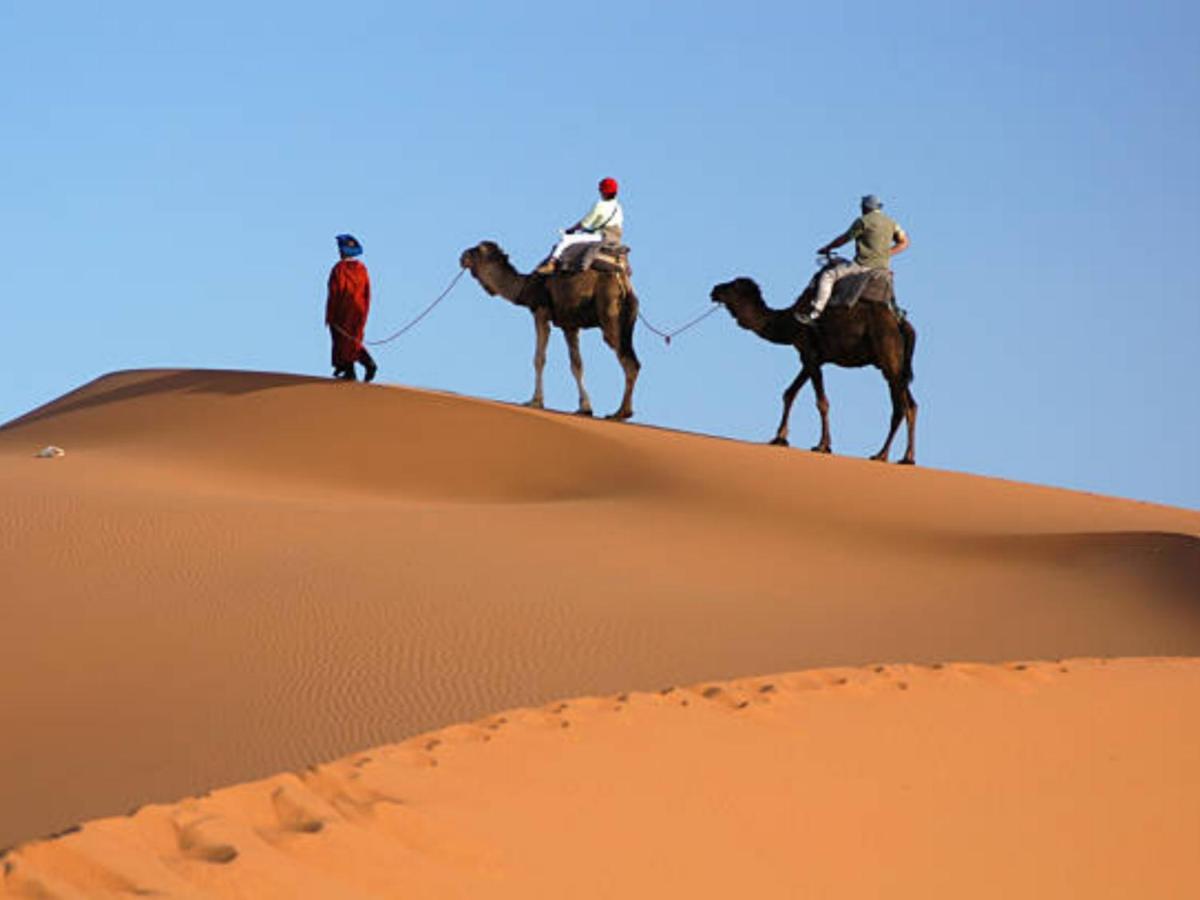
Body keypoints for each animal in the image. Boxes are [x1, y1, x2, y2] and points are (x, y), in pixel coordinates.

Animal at [458, 241, 643, 422]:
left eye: (478, 249)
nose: (462, 256)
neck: (525, 287)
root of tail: (622, 279)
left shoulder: (541, 312)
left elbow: (539, 358)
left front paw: (535, 402)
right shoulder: (569, 325)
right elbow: (576, 364)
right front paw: (585, 408)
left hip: (609, 312)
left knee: (628, 361)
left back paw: (620, 413)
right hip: (628, 318)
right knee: (631, 359)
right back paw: (621, 412)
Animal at [710, 274, 916, 465]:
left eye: (733, 285)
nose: (714, 290)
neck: (788, 322)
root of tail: (902, 325)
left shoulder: (809, 354)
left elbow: (821, 402)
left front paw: (823, 445)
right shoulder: (809, 359)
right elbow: (789, 393)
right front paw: (780, 438)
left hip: (888, 360)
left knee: (900, 406)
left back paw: (882, 454)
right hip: (898, 366)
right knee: (911, 405)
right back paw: (907, 458)